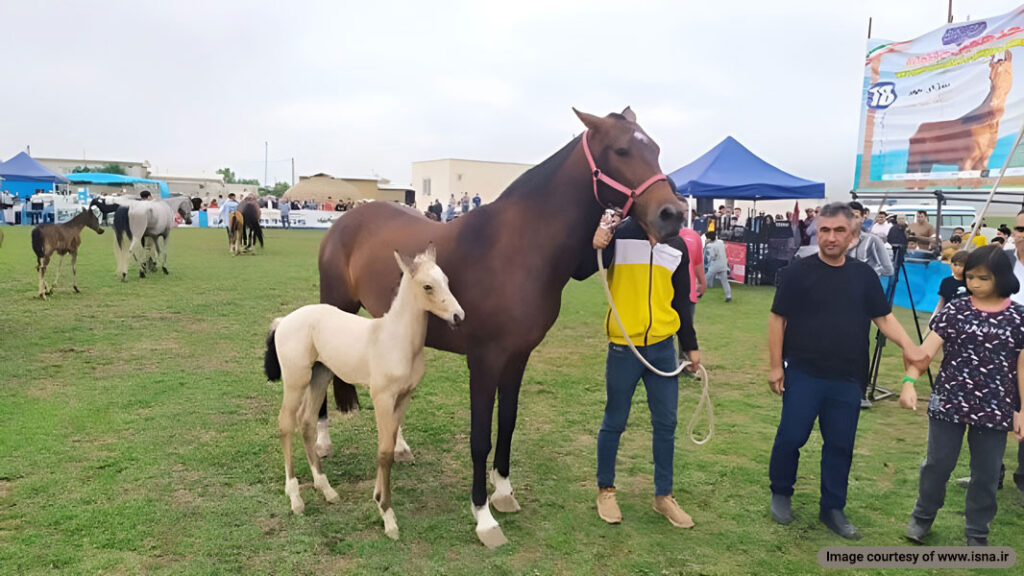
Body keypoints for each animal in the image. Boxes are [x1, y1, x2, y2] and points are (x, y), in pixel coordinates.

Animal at [264, 245, 464, 537]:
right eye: (427, 286)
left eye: (446, 281)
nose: (459, 316)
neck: (397, 340)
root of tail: (283, 321)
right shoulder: (381, 397)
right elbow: (384, 452)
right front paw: (387, 515)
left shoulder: (404, 397)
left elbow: (389, 446)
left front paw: (377, 497)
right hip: (295, 380)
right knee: (286, 424)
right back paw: (296, 499)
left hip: (320, 376)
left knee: (307, 423)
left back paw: (326, 489)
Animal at [315, 106, 684, 541]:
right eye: (621, 150)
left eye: (656, 149)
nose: (672, 214)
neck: (519, 248)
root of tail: (346, 218)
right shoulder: (484, 360)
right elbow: (480, 438)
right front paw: (483, 515)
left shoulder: (517, 357)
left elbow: (506, 424)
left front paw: (504, 492)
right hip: (332, 306)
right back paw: (321, 444)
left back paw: (399, 446)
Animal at [909, 50, 1011, 178]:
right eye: (990, 77)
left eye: (1005, 70)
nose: (994, 106)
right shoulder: (965, 162)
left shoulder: (982, 162)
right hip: (915, 162)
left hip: (927, 163)